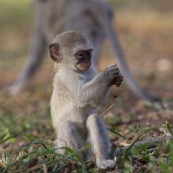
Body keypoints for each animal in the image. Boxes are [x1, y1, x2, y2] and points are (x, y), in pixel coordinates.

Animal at [49, 30, 123, 169]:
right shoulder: (66, 76)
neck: (76, 71)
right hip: (62, 148)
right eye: (80, 55)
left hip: (89, 148)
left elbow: (94, 104)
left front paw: (116, 79)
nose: (87, 62)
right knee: (66, 125)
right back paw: (77, 162)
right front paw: (107, 75)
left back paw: (100, 160)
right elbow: (82, 96)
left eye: (89, 53)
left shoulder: (91, 70)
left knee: (94, 118)